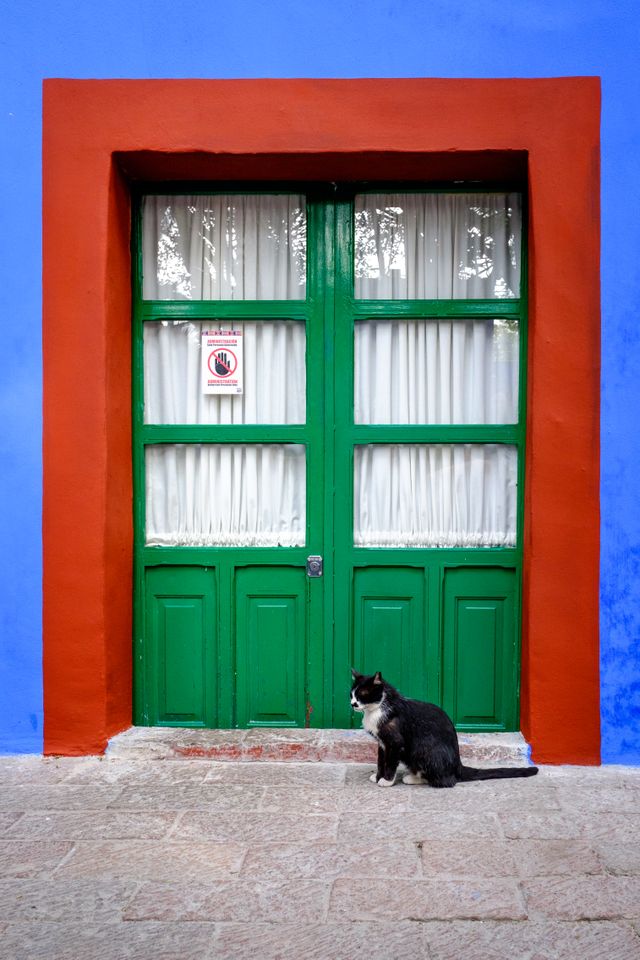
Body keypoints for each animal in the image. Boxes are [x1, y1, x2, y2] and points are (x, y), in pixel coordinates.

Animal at [352, 668, 536, 788]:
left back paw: (413, 779)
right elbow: (380, 761)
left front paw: (387, 781)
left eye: (363, 694)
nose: (353, 703)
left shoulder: (395, 742)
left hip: (423, 748)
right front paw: (377, 777)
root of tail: (457, 766)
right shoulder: (382, 743)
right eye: (352, 694)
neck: (376, 709)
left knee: (447, 781)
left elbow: (389, 763)